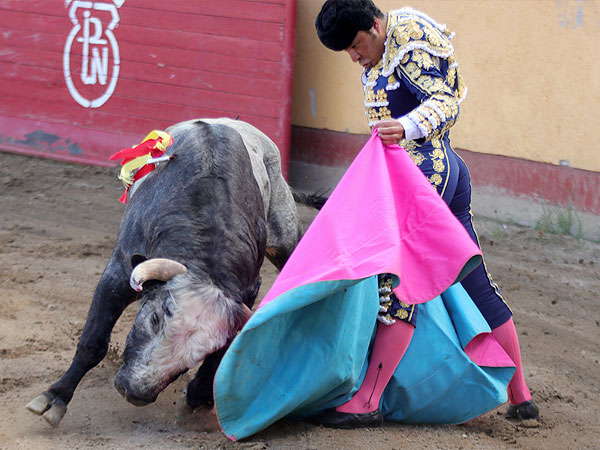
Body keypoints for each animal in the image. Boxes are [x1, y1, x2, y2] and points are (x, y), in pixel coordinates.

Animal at [25, 118, 322, 428]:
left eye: (200, 353)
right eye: (155, 318)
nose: (134, 392)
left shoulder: (243, 295)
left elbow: (220, 356)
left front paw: (196, 398)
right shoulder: (118, 274)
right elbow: (93, 342)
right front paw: (54, 398)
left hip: (285, 237)